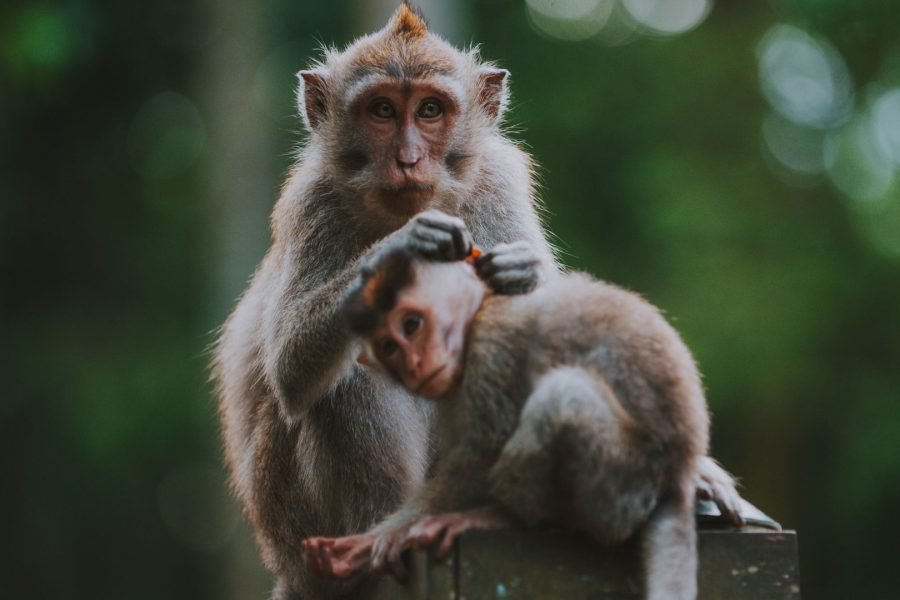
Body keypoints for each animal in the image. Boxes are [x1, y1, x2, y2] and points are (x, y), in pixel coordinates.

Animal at [310, 246, 716, 596]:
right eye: (389, 347)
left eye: (411, 324)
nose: (414, 365)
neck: (479, 314)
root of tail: (678, 473)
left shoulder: (491, 352)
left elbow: (480, 455)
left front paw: (386, 537)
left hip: (624, 487)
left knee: (560, 398)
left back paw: (506, 518)